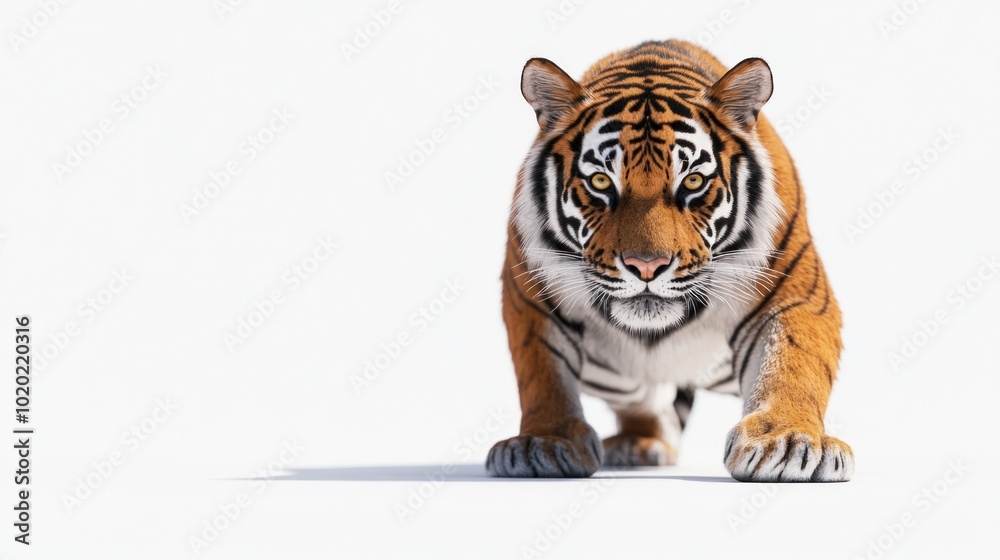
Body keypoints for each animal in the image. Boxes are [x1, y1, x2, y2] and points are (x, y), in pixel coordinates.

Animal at [487, 39, 854, 482]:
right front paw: (543, 441)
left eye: (693, 182)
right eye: (601, 182)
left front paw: (787, 441)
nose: (647, 266)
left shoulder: (795, 294)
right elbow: (542, 375)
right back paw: (637, 443)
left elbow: (793, 363)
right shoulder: (530, 296)